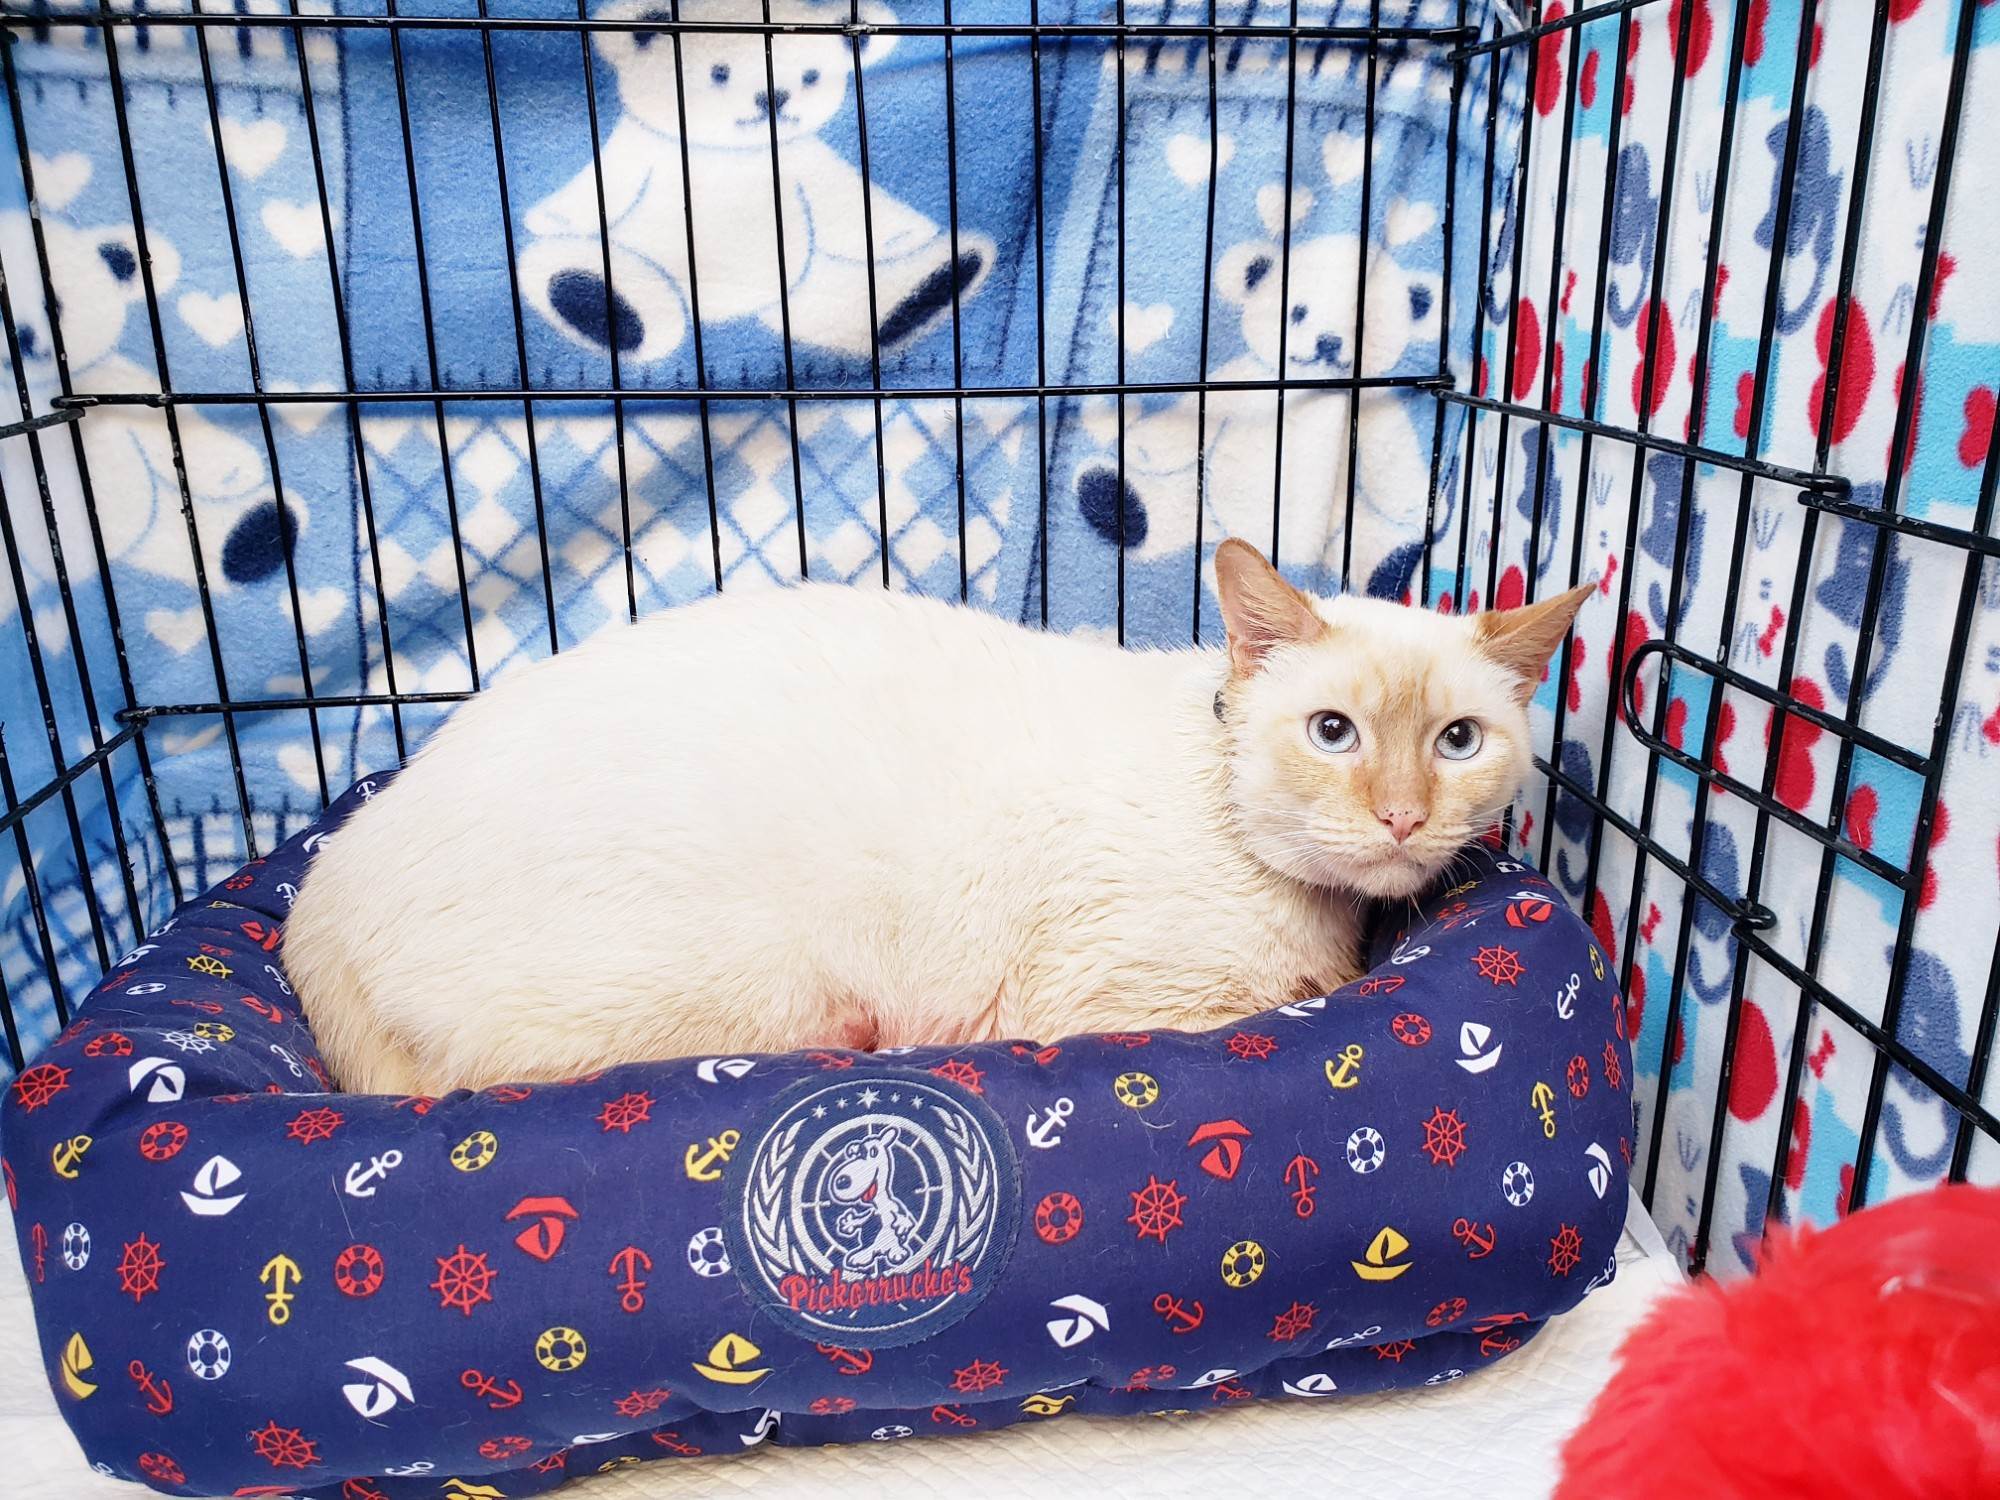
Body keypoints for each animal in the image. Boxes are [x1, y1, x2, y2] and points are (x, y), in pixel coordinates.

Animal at [283, 541, 1590, 1094]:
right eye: (1332, 733)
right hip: (764, 985)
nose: (1400, 818)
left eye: (1456, 742)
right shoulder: (1122, 1003)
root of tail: (321, 889)